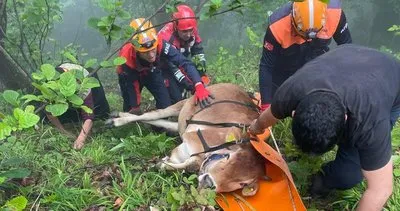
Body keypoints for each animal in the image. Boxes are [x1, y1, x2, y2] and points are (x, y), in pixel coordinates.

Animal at [108, 83, 268, 195]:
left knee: (162, 122)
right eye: (229, 158)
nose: (209, 183)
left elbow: (187, 164)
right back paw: (116, 119)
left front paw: (162, 164)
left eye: (243, 183)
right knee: (153, 114)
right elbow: (192, 164)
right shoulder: (192, 137)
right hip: (182, 105)